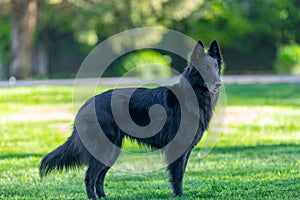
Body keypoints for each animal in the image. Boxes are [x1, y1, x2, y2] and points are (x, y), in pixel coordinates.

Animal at [39, 39, 221, 199]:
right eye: (205, 68)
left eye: (217, 68)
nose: (219, 84)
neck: (192, 96)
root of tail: (87, 104)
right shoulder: (178, 148)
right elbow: (177, 176)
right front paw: (179, 195)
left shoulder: (186, 150)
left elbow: (181, 173)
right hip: (105, 150)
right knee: (90, 176)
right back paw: (93, 198)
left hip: (113, 151)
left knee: (99, 177)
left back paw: (103, 197)